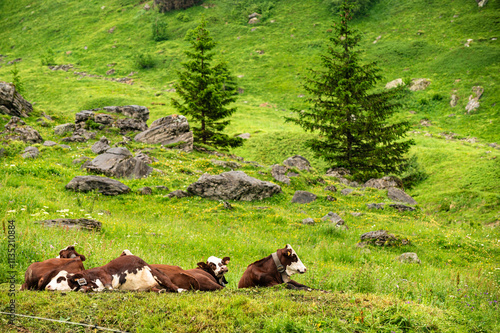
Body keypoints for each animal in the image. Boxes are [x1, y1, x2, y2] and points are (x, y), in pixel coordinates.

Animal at [44, 253, 186, 292]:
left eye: (60, 279)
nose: (47, 286)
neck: (91, 277)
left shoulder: (107, 278)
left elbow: (108, 288)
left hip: (158, 274)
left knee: (173, 286)